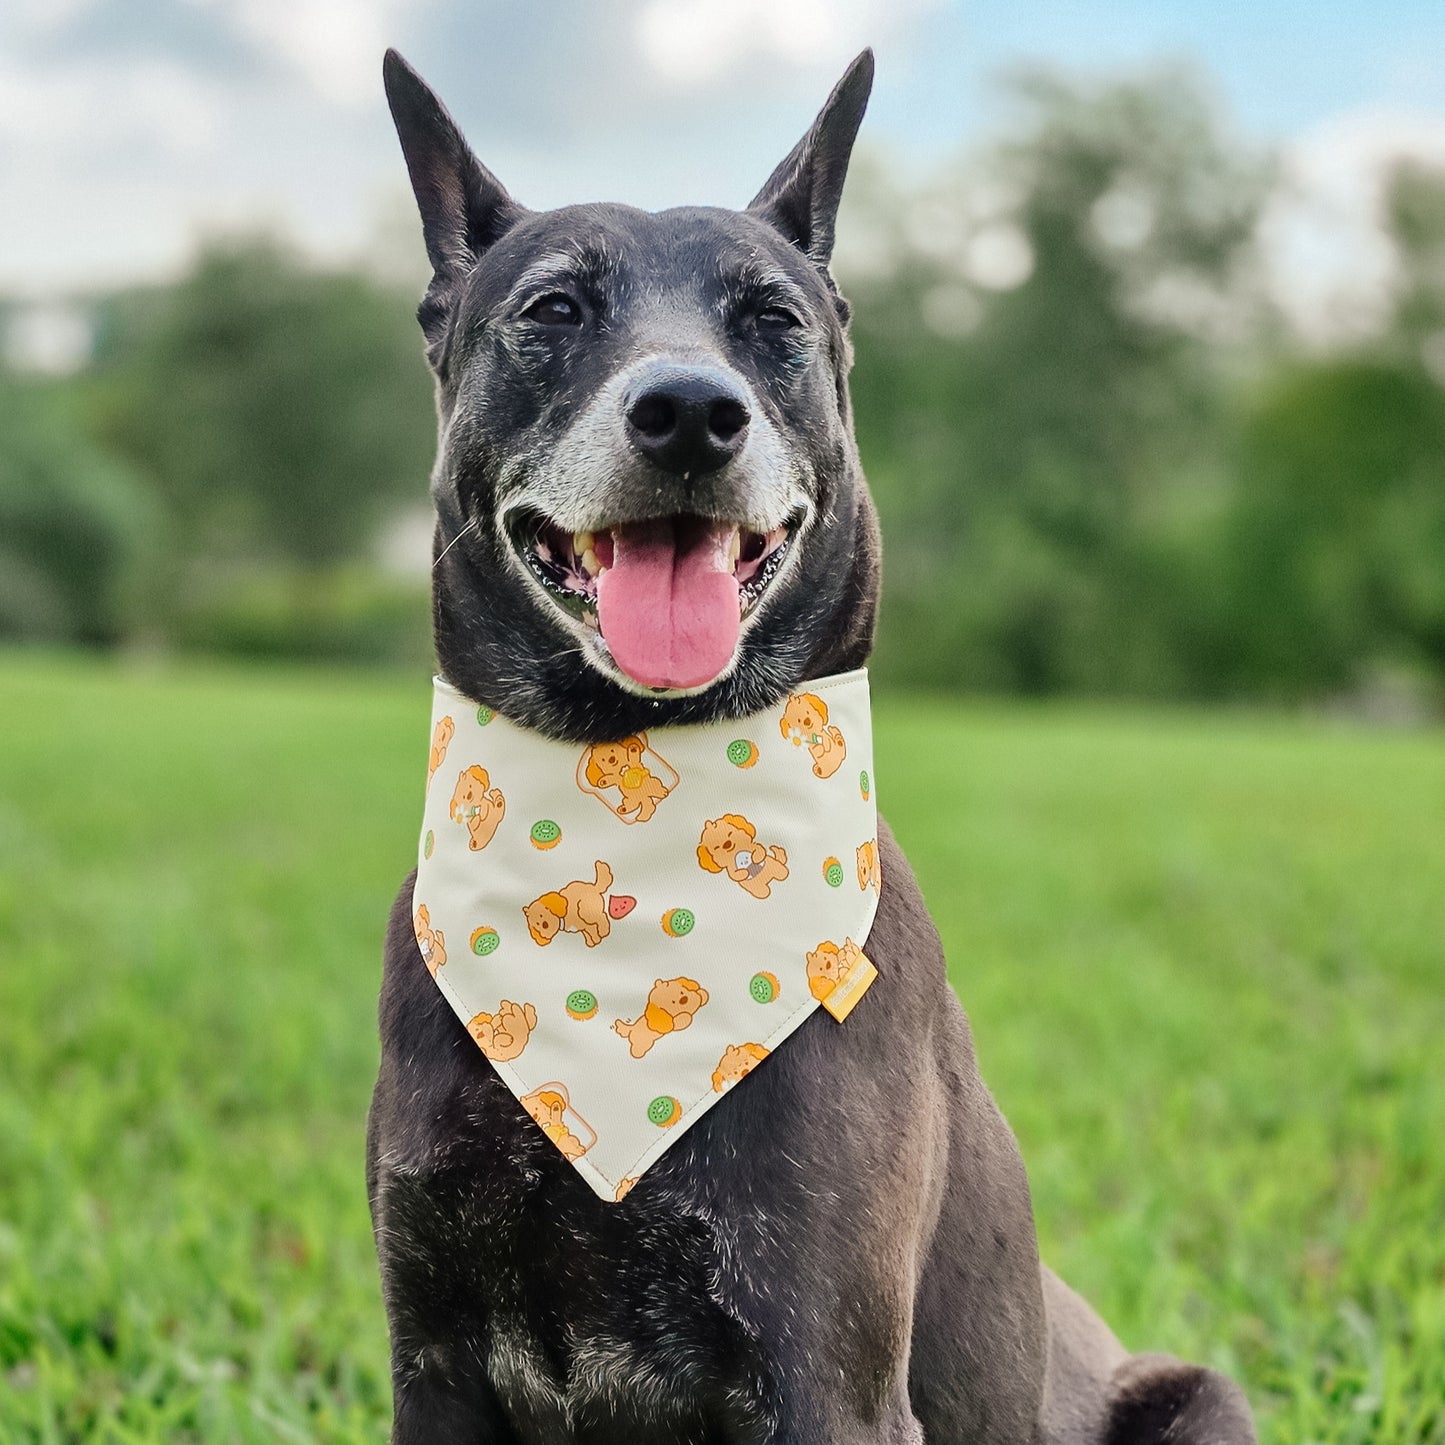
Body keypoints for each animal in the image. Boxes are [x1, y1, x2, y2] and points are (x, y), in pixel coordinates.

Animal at [367, 48, 1260, 1445]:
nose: (688, 411)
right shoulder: (437, 1357)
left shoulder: (825, 1370)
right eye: (554, 306)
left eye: (774, 321)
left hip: (1198, 1397)